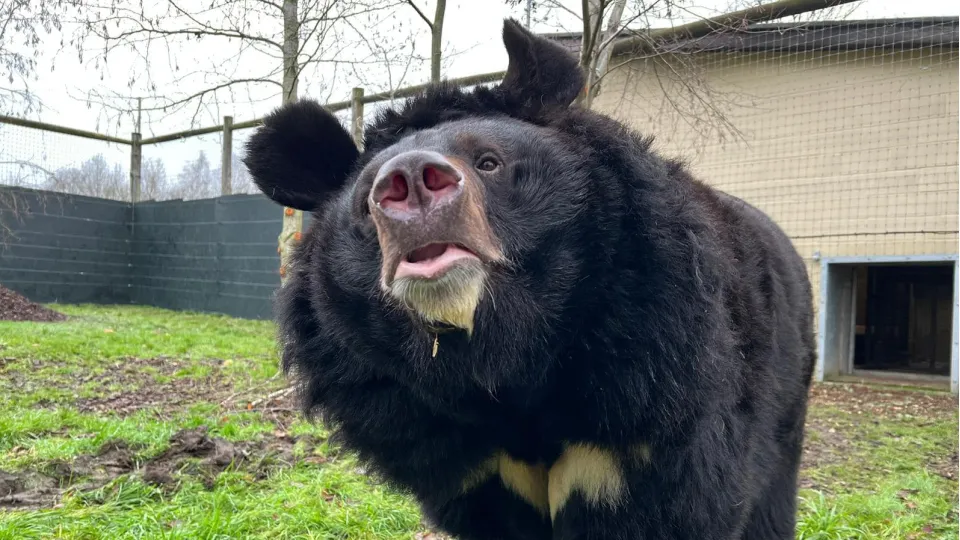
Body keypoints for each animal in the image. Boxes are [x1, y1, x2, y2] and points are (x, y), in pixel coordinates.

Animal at [243, 18, 816, 540]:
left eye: (489, 162)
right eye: (365, 202)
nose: (409, 183)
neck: (507, 363)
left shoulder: (648, 397)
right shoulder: (458, 455)